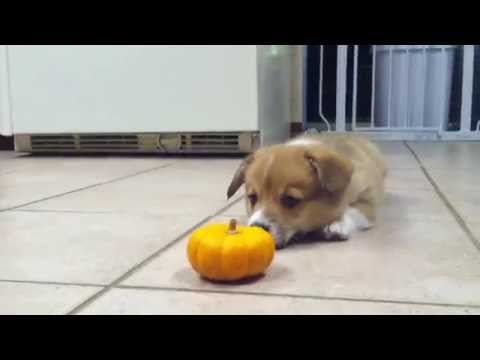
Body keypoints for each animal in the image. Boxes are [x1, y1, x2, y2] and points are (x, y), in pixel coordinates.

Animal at [227, 134, 388, 249]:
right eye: (252, 197)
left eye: (290, 199)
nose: (257, 227)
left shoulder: (367, 201)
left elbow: (351, 211)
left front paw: (337, 225)